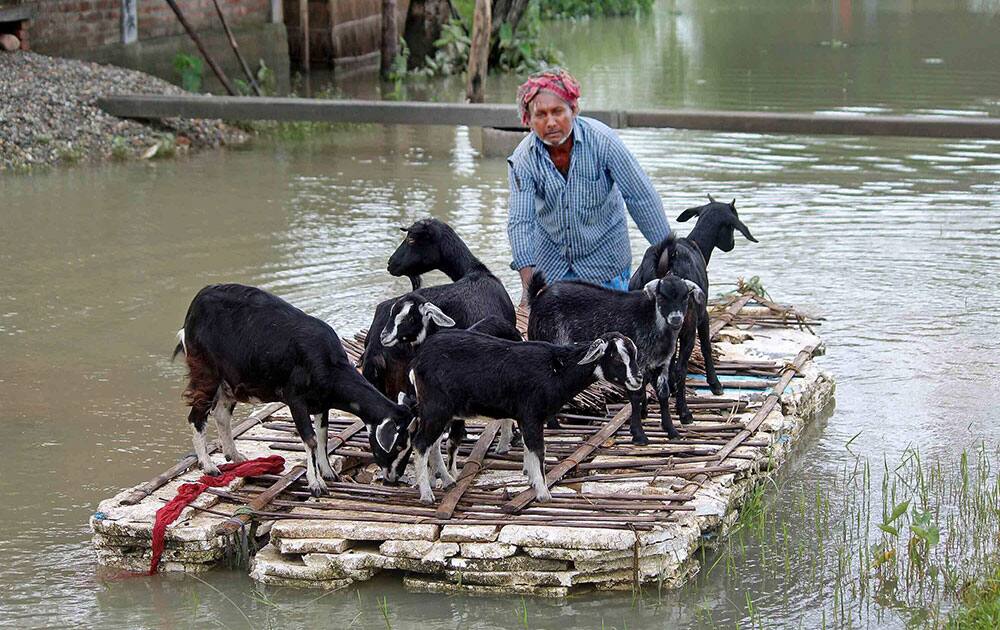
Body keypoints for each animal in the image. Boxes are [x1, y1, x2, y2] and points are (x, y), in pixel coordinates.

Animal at [176, 286, 414, 498]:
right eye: (399, 444)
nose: (393, 478)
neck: (327, 363)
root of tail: (195, 305)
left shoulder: (322, 403)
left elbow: (322, 436)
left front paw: (328, 473)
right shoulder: (296, 400)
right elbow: (310, 440)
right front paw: (316, 485)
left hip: (229, 381)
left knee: (222, 414)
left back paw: (235, 456)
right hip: (206, 373)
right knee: (197, 416)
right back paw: (209, 466)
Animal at [400, 330, 640, 504]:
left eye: (634, 354)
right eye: (616, 358)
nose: (638, 379)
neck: (557, 369)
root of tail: (417, 361)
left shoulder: (526, 418)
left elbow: (529, 448)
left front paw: (532, 481)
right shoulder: (532, 414)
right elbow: (538, 450)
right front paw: (543, 493)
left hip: (441, 411)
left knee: (433, 444)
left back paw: (448, 481)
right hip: (436, 408)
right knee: (421, 443)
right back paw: (427, 495)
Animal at [528, 276, 708, 444]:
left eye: (685, 297)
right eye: (662, 297)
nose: (676, 319)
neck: (653, 321)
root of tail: (538, 298)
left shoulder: (662, 363)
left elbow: (663, 393)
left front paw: (672, 431)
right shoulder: (637, 363)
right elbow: (636, 396)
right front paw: (639, 435)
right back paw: (552, 424)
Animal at [628, 196, 760, 424]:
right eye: (732, 226)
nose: (731, 245)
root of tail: (662, 269)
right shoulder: (703, 315)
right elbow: (706, 346)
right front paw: (715, 385)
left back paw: (643, 410)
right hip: (688, 325)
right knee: (682, 368)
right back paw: (685, 413)